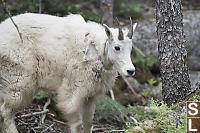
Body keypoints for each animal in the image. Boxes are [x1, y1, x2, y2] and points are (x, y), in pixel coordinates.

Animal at [0, 13, 137, 132]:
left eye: (131, 48)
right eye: (117, 47)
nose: (130, 71)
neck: (97, 51)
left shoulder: (91, 95)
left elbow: (88, 123)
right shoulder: (73, 89)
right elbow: (77, 123)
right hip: (19, 79)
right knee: (6, 111)